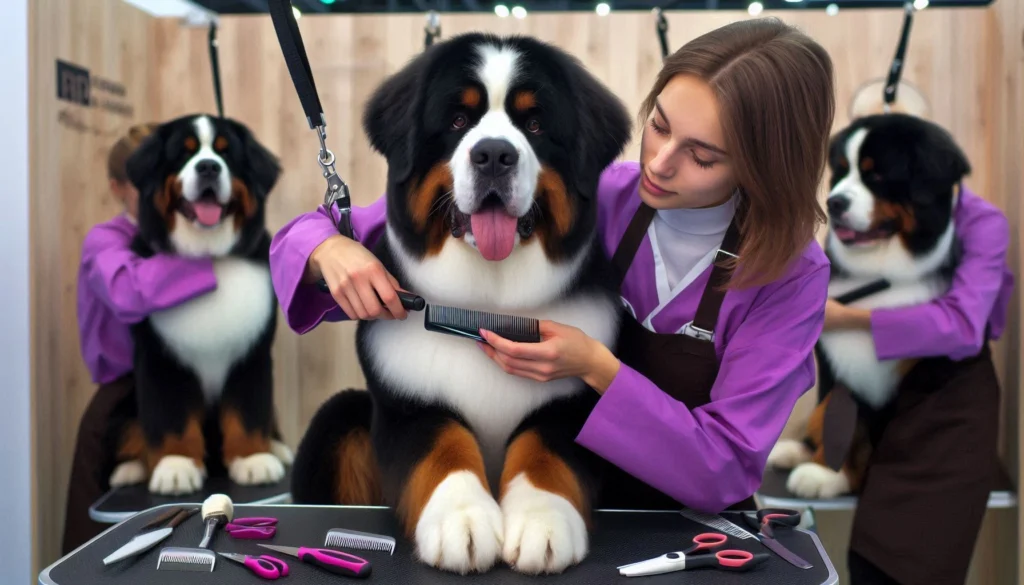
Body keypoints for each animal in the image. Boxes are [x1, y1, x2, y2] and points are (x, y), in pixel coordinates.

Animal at [108, 116, 292, 495]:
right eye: (184, 153)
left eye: (226, 153)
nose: (208, 167)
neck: (210, 258)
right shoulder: (161, 358)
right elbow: (170, 417)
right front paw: (176, 467)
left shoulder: (251, 353)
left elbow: (248, 410)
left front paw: (253, 459)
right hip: (124, 404)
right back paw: (131, 469)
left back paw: (277, 449)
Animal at [288, 33, 634, 577]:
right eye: (457, 121)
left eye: (535, 125)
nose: (494, 154)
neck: (488, 299)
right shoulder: (410, 402)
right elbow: (444, 447)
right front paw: (463, 524)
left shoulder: (571, 405)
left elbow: (543, 452)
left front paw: (542, 525)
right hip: (339, 417)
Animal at [770, 113, 966, 499]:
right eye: (841, 172)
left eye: (876, 176)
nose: (834, 202)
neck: (879, 277)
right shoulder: (839, 367)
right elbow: (845, 422)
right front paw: (827, 472)